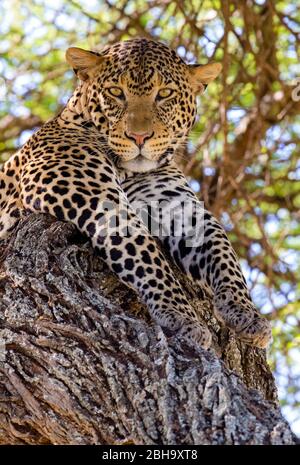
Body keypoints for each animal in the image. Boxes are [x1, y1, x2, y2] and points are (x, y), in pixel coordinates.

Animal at [0, 37, 272, 348]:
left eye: (164, 94)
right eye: (116, 92)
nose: (139, 137)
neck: (128, 170)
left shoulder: (178, 206)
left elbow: (222, 247)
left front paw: (245, 312)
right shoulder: (93, 195)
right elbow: (145, 253)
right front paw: (181, 316)